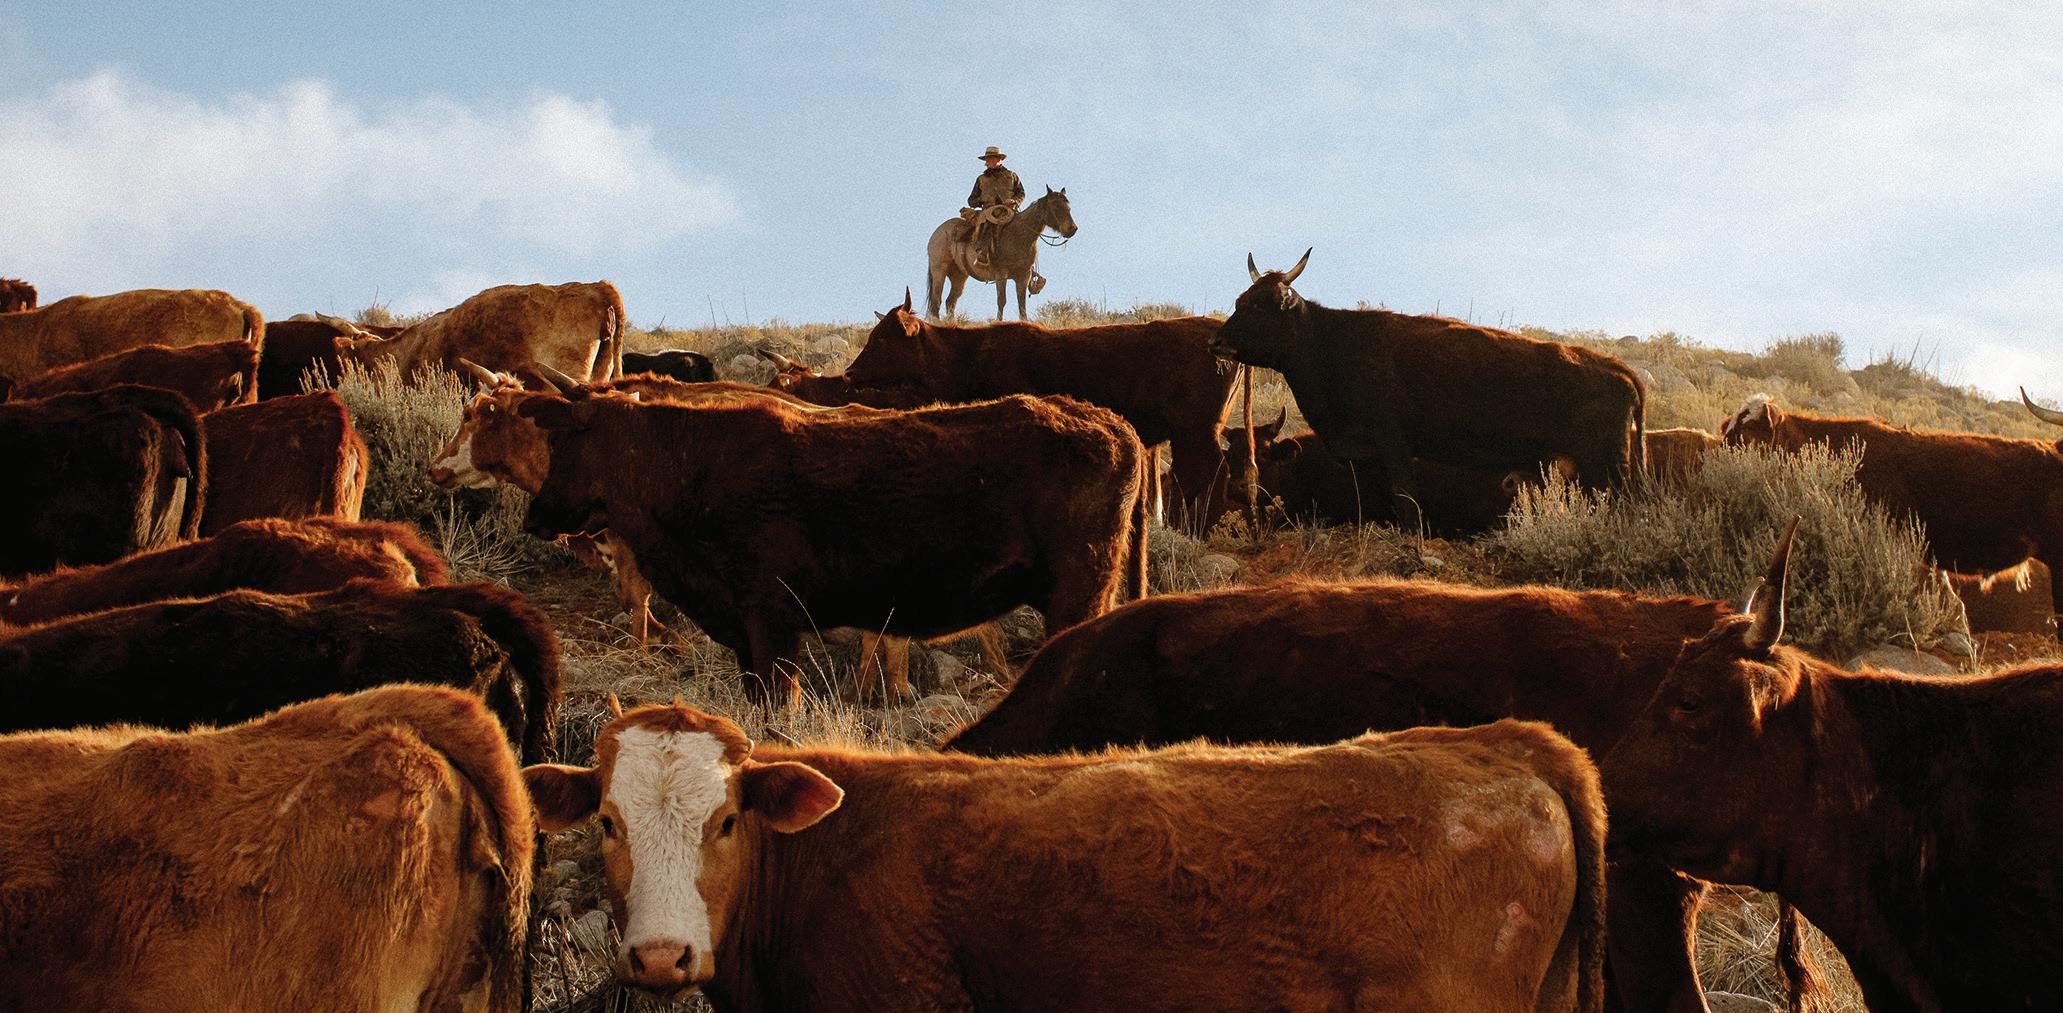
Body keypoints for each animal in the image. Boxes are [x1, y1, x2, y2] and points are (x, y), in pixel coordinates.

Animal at [517, 391, 1151, 703]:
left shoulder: (772, 620)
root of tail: (1116, 425)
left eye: (562, 437)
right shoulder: (745, 633)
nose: (536, 516)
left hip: (1078, 593)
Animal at [763, 294, 1240, 523]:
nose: (852, 372)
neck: (968, 354)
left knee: (1210, 473)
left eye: (881, 339)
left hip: (1196, 432)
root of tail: (1221, 334)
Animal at [926, 187, 1077, 321]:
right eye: (1055, 206)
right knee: (936, 300)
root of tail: (936, 234)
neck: (1018, 236)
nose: (1072, 229)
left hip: (959, 276)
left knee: (950, 301)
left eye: (1068, 207)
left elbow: (1021, 302)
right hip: (939, 270)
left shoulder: (1024, 275)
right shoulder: (1001, 275)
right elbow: (1002, 300)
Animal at [1211, 251, 1646, 532]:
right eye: (1239, 300)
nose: (1218, 341)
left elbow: (1406, 499)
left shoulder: (1394, 442)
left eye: (1260, 306)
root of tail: (1617, 368)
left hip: (1606, 468)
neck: (1331, 342)